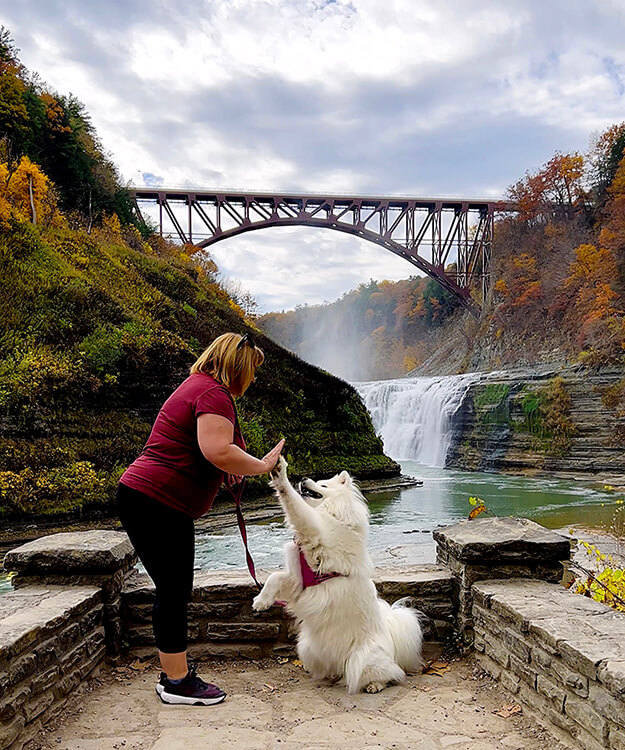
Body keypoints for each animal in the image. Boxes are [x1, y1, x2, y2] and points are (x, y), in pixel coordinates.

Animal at [251, 458, 422, 700]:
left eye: (323, 485)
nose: (304, 478)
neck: (336, 517)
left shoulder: (314, 529)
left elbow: (294, 504)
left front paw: (280, 473)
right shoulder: (298, 582)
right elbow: (274, 577)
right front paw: (261, 601)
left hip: (364, 659)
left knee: (391, 674)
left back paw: (375, 685)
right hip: (307, 648)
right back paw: (330, 674)